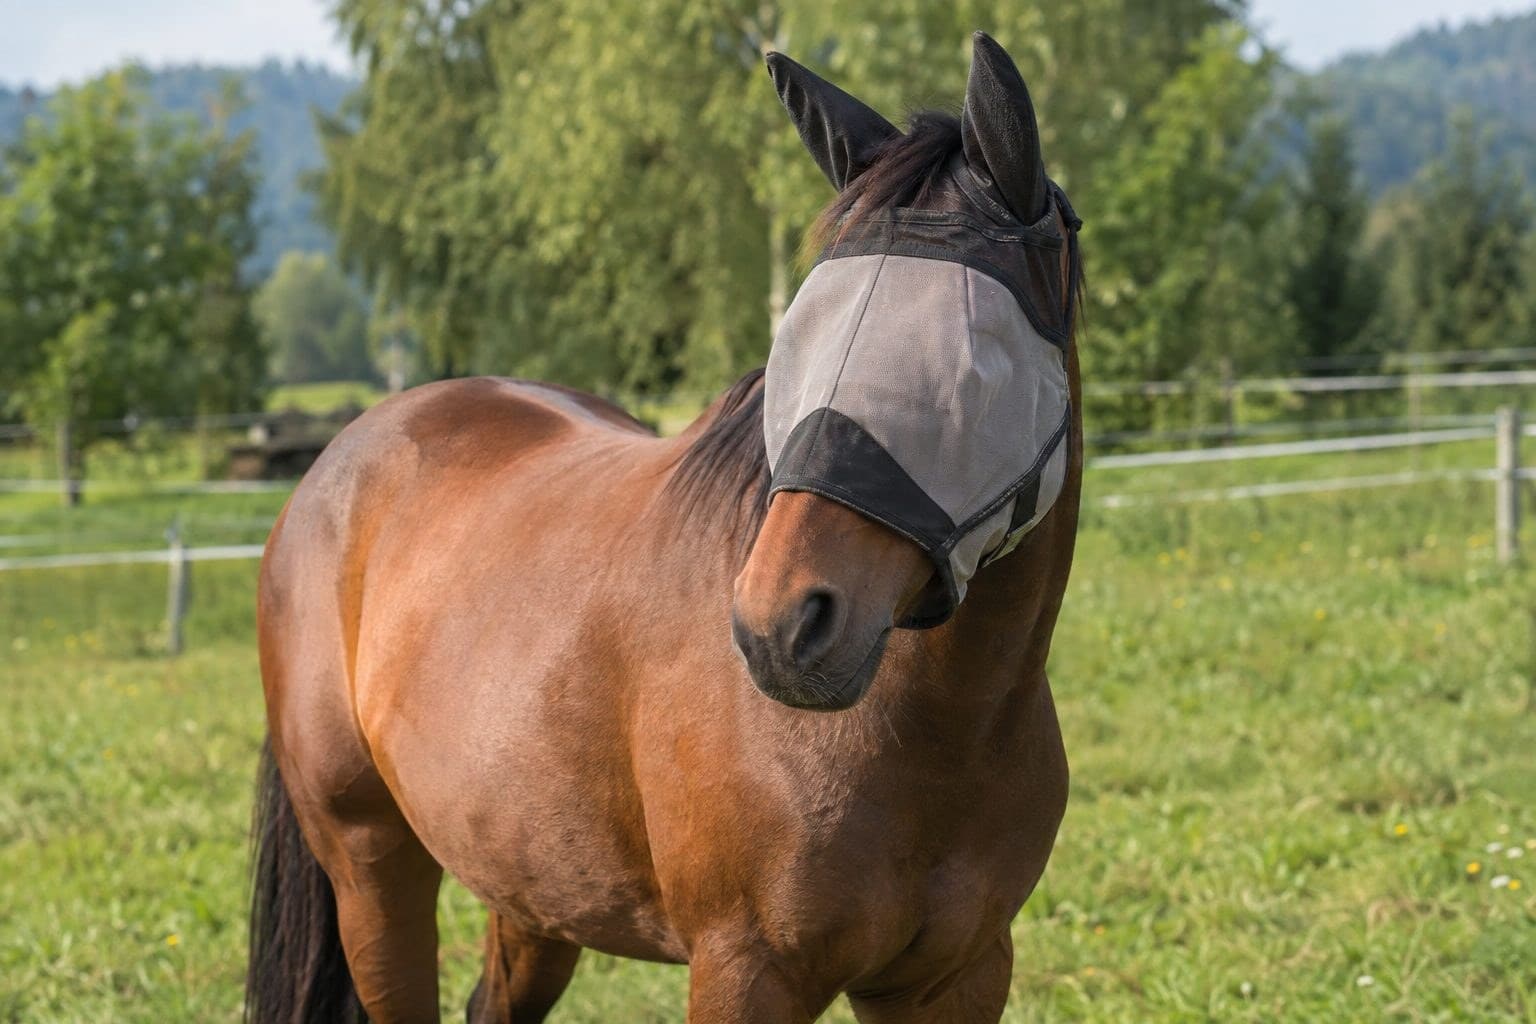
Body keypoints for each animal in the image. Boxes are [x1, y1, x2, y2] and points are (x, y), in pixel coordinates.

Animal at [248, 31, 1083, 1024]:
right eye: (792, 340)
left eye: (970, 362)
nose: (777, 627)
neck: (940, 733)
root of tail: (337, 464)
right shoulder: (744, 970)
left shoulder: (957, 974)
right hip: (371, 865)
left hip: (530, 884)